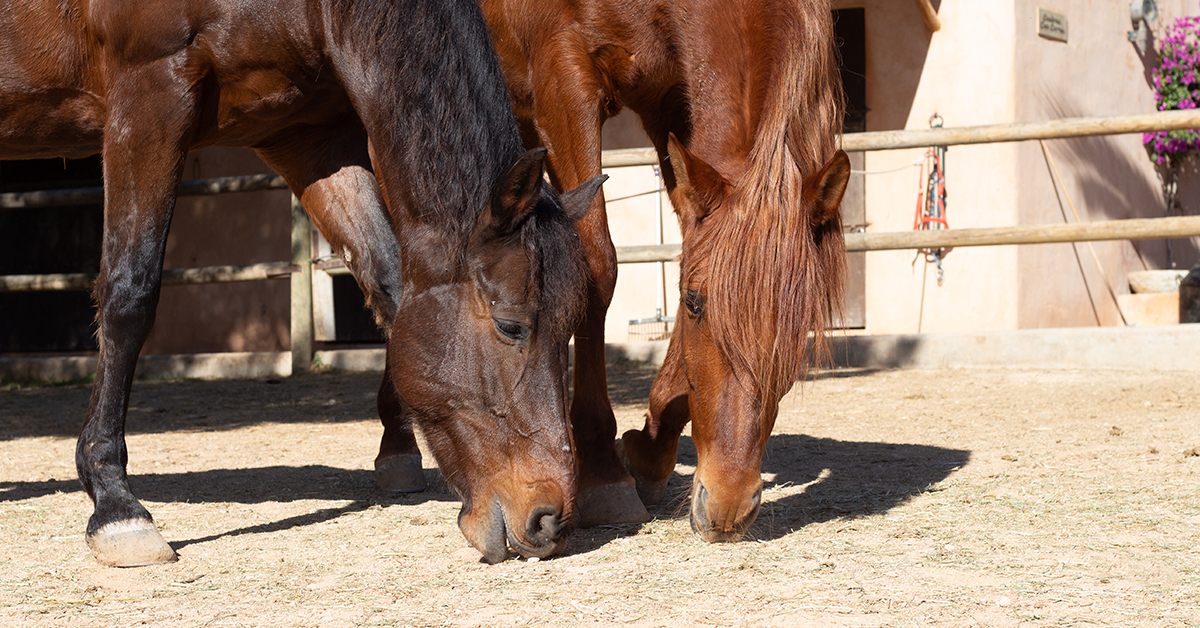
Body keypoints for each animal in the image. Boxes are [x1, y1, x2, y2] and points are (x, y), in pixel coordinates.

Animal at [0, 0, 604, 566]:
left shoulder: (305, 138)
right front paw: (116, 505)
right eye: (510, 325)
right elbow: (130, 294)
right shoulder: (149, 94)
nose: (549, 520)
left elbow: (386, 277)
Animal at [476, 0, 851, 539]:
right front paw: (602, 472)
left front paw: (652, 449)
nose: (728, 508)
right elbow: (596, 264)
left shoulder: (668, 100)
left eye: (799, 325)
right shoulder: (563, 77)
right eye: (694, 303)